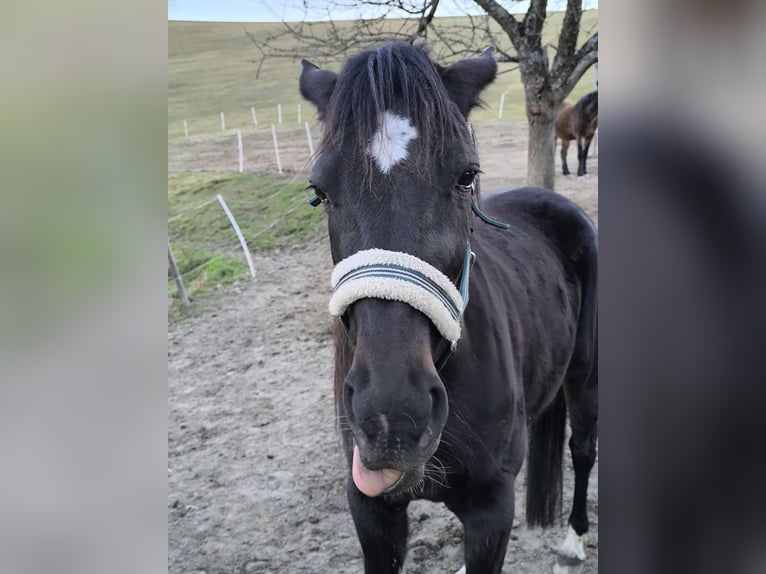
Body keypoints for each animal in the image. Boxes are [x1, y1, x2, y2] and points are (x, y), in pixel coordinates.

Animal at [299, 42, 598, 574]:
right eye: (320, 191)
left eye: (466, 176)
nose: (391, 417)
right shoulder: (372, 513)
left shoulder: (492, 513)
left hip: (585, 377)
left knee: (582, 449)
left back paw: (573, 540)